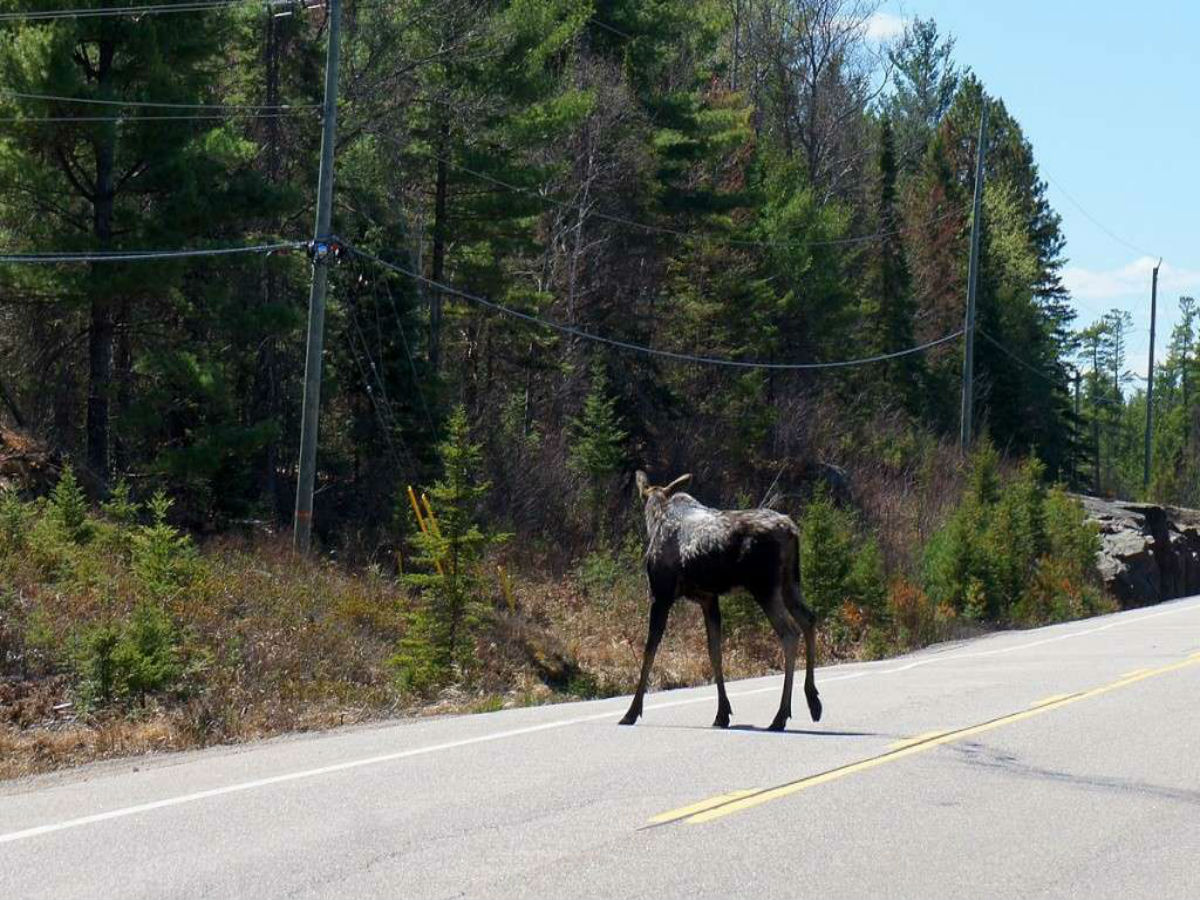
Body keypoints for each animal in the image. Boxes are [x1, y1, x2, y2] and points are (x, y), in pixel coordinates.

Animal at [619, 472, 825, 734]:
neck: (655, 519)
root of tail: (792, 531)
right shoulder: (709, 599)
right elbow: (714, 651)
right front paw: (722, 713)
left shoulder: (661, 594)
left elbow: (649, 651)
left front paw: (631, 712)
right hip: (790, 582)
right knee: (809, 618)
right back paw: (813, 701)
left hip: (764, 587)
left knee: (789, 632)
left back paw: (780, 716)